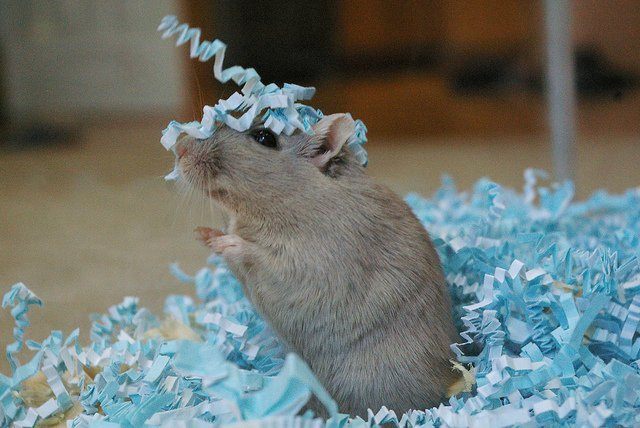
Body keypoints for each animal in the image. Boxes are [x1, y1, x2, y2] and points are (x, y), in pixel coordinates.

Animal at [174, 113, 458, 417]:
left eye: (264, 137)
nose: (180, 148)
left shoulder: (307, 265)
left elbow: (256, 255)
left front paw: (227, 241)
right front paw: (203, 234)